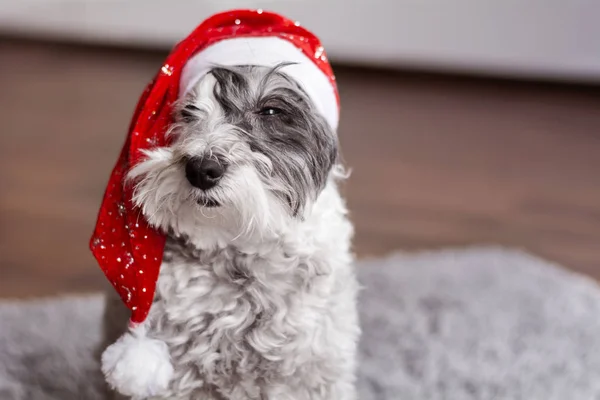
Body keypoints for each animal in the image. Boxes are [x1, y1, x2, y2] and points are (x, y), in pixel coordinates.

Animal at [99, 62, 360, 400]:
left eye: (271, 110)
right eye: (188, 113)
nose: (201, 169)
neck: (242, 245)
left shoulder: (312, 371)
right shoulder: (183, 376)